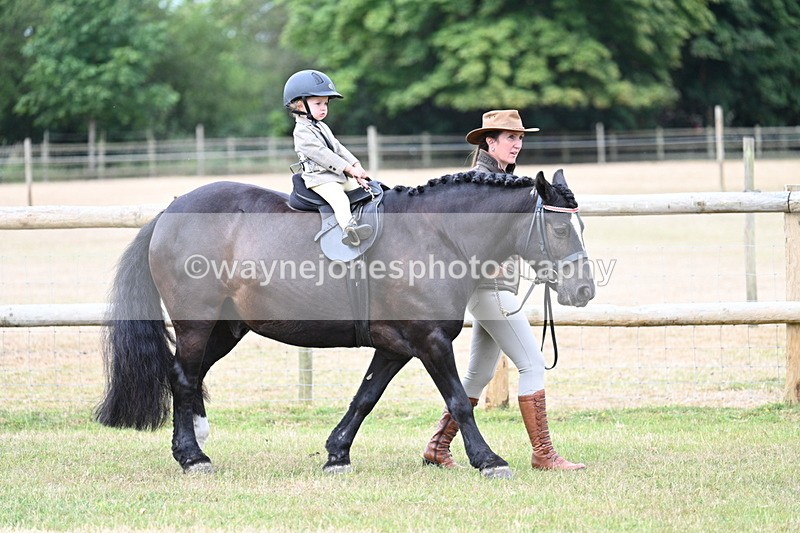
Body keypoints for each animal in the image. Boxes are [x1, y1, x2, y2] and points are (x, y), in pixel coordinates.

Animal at [95, 169, 595, 479]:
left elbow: (365, 398)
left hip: (225, 328)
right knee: (182, 377)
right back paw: (192, 456)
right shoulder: (430, 341)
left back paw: (195, 441)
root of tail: (170, 211)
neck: (435, 234)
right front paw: (488, 460)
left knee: (190, 375)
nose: (585, 290)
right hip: (197, 323)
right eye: (561, 229)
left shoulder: (395, 346)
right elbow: (458, 401)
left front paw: (337, 453)